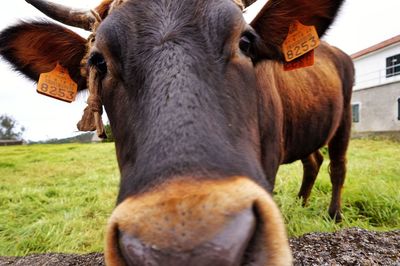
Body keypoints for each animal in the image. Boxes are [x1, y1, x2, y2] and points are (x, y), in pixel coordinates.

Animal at [0, 0, 354, 264]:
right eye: (98, 61)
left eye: (246, 42)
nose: (186, 250)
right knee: (313, 161)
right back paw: (302, 203)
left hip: (345, 118)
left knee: (337, 166)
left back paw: (334, 216)